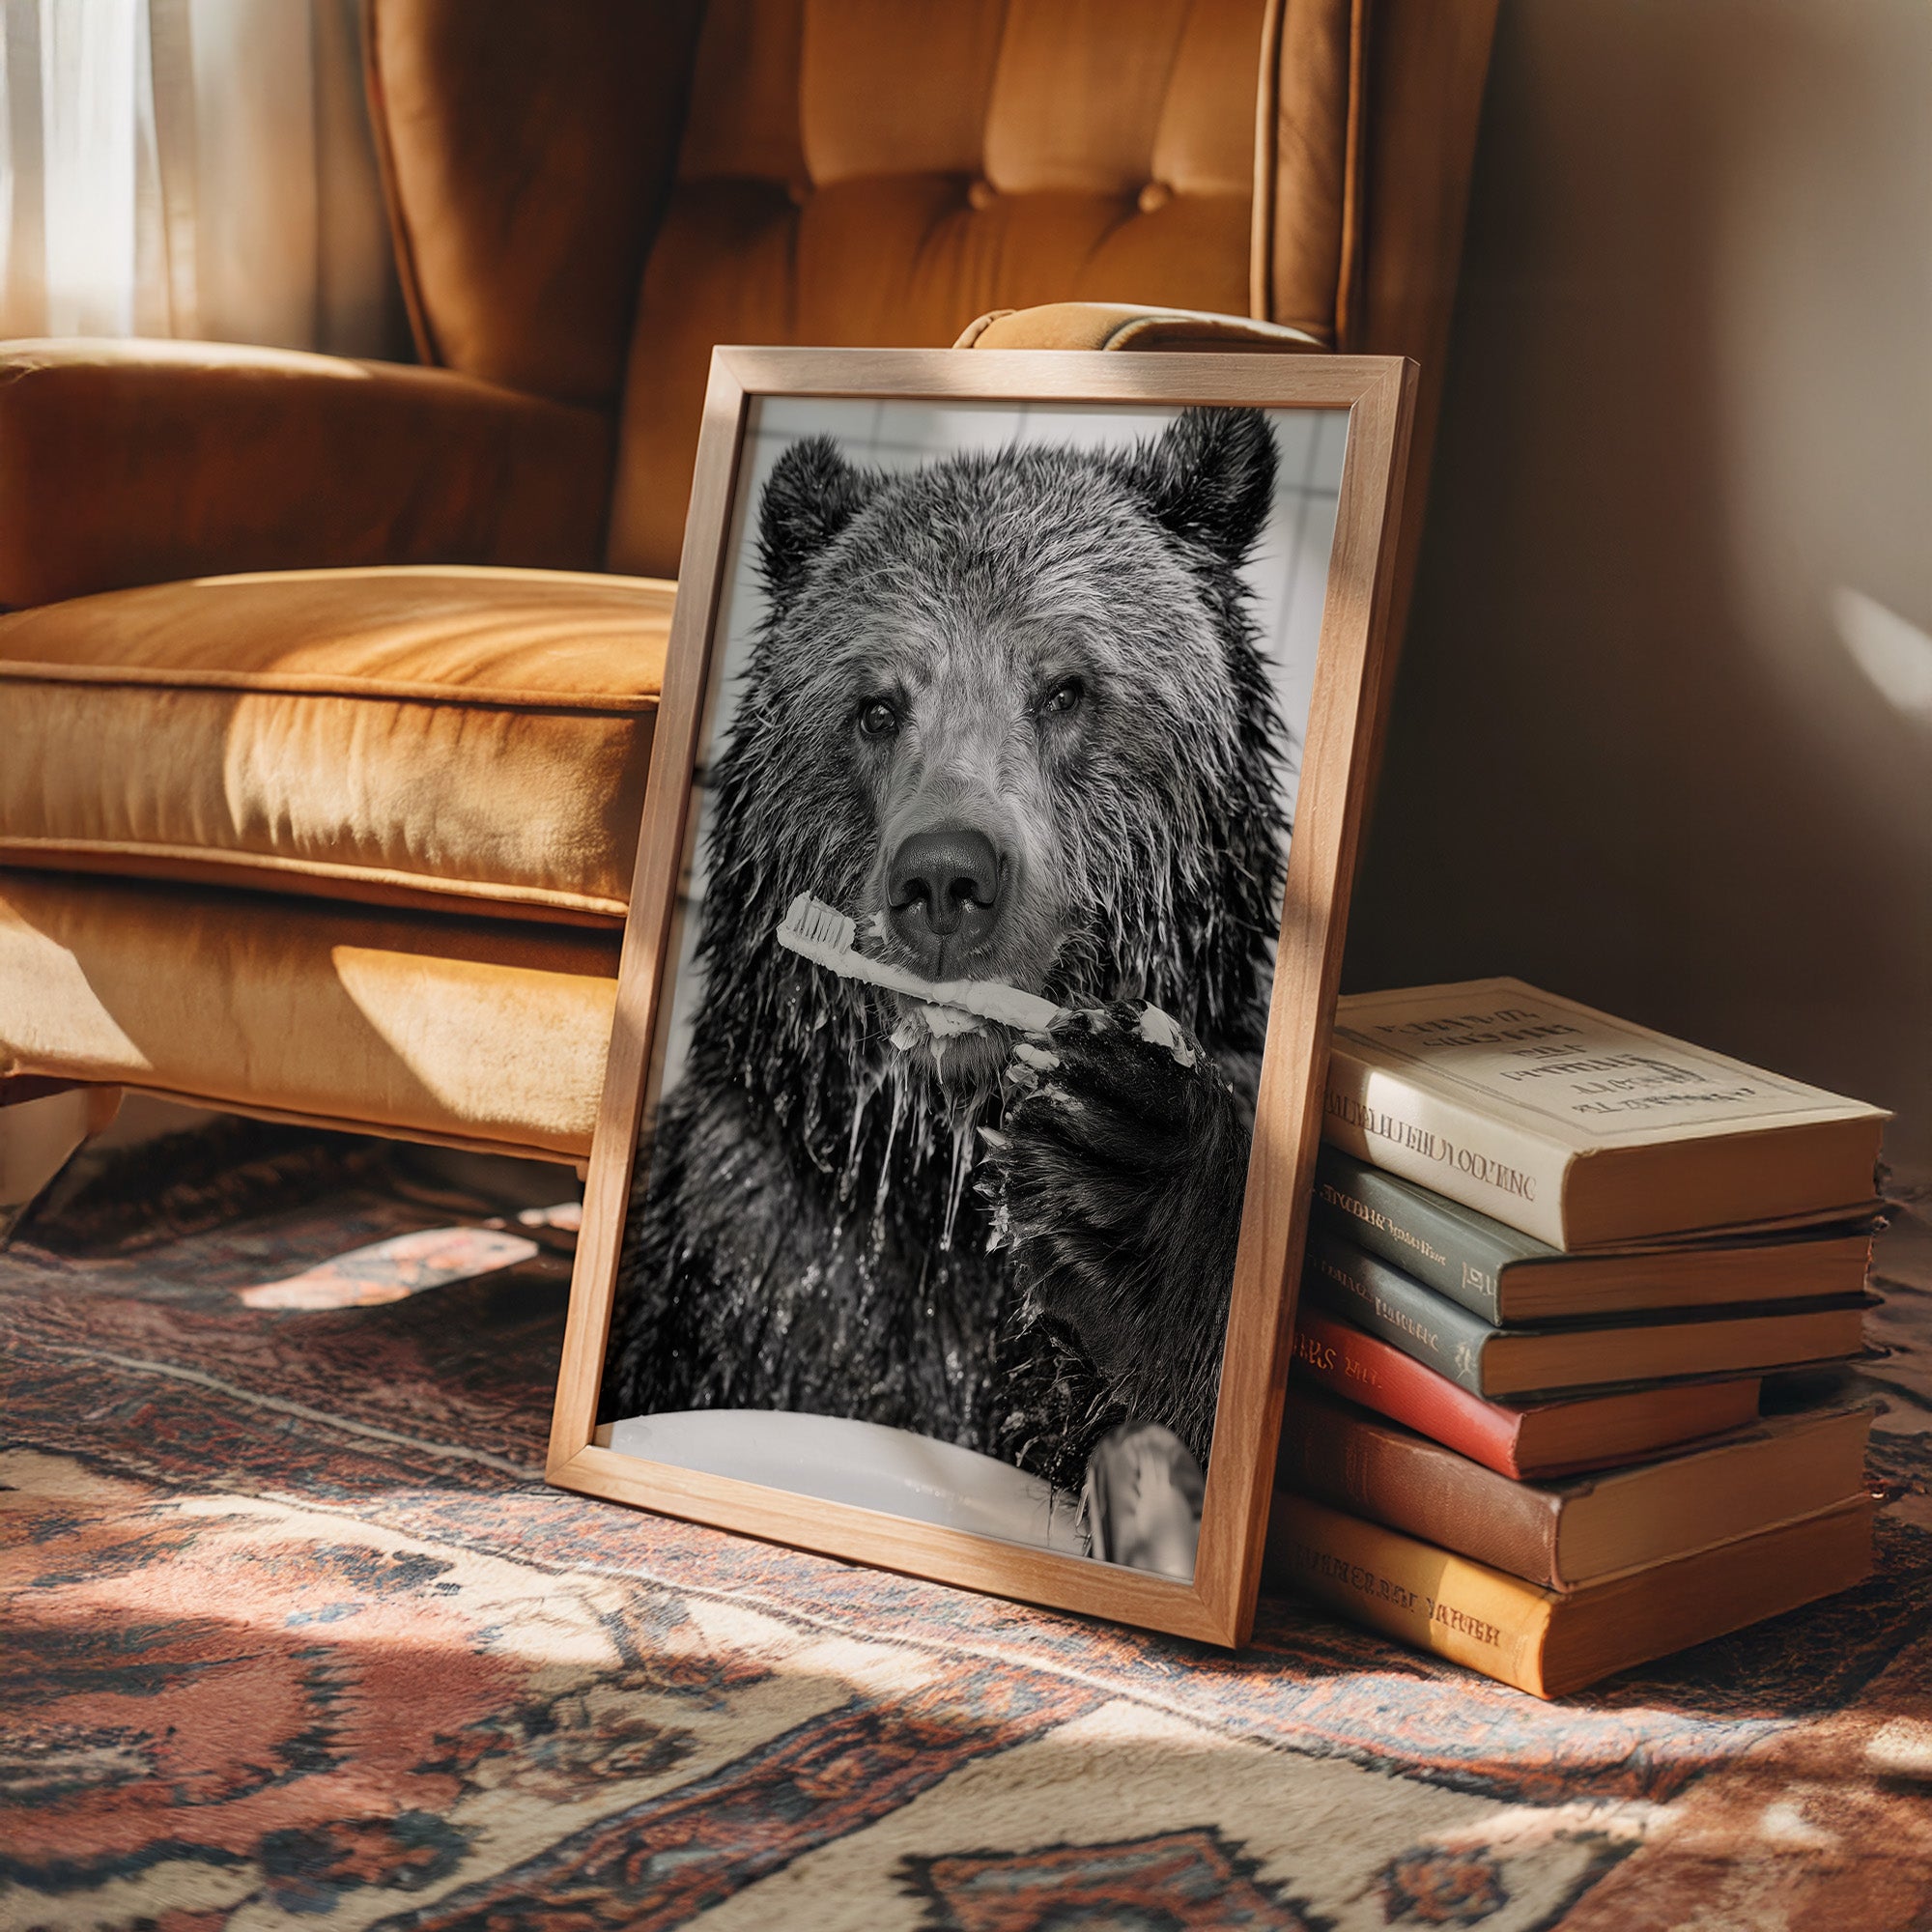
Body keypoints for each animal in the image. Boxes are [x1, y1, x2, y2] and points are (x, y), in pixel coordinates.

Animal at [600, 406, 1290, 1501]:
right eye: (877, 706)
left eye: (1066, 687)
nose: (942, 879)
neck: (943, 1186)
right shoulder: (743, 1262)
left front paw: (1126, 1158)